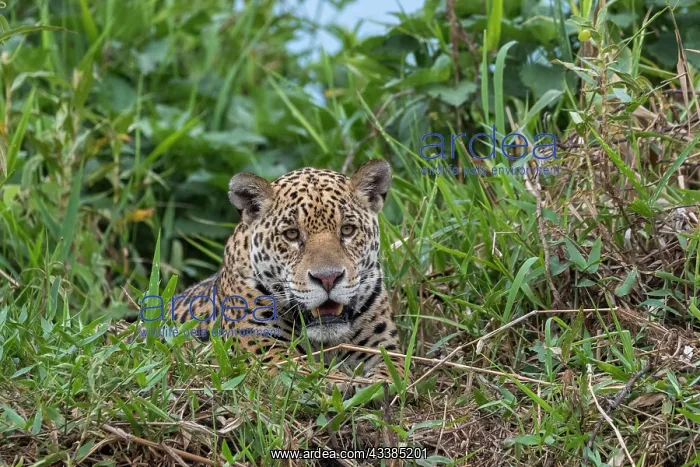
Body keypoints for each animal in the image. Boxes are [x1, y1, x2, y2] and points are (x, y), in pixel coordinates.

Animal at [116, 159, 403, 390]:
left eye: (347, 230)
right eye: (291, 234)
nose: (328, 278)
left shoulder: (383, 346)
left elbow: (395, 372)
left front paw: (374, 385)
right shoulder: (266, 351)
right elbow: (303, 372)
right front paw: (338, 383)